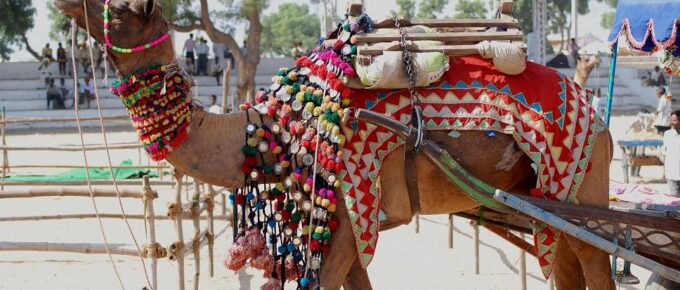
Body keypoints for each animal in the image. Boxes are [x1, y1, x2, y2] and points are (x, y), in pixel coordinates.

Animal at [54, 0, 616, 290]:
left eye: (122, 10)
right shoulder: (351, 224)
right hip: (543, 201)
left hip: (580, 181)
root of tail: (596, 114)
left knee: (595, 262)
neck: (270, 133)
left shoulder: (348, 213)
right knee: (566, 264)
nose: (65, 2)